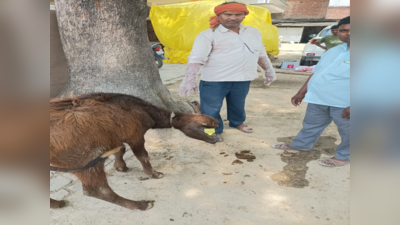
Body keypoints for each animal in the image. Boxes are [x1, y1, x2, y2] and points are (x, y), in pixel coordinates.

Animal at [51, 92, 219, 210]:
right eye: (205, 125)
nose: (217, 138)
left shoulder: (116, 137)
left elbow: (121, 150)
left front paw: (120, 167)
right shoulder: (135, 135)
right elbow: (143, 156)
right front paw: (153, 173)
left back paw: (56, 204)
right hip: (84, 160)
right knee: (97, 190)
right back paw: (141, 205)